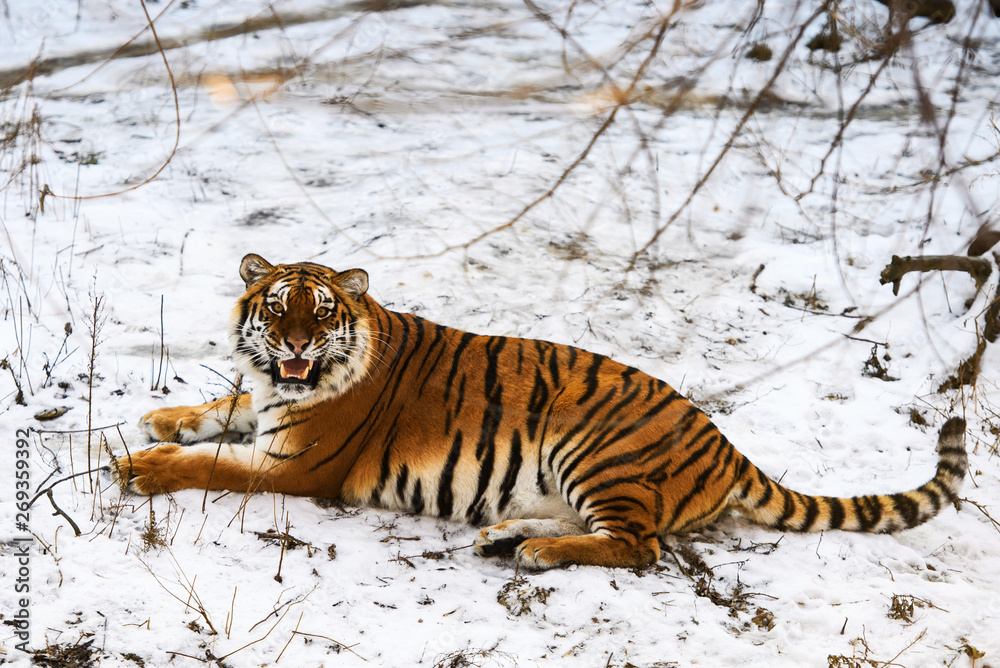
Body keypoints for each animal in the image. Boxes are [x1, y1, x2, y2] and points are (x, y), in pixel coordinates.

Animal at [117, 253, 968, 570]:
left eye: (320, 312)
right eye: (277, 306)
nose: (295, 343)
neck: (294, 382)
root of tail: (725, 445)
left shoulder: (297, 467)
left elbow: (214, 464)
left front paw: (141, 465)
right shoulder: (266, 406)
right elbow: (223, 408)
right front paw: (165, 421)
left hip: (597, 451)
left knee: (638, 547)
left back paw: (537, 553)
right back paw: (507, 535)